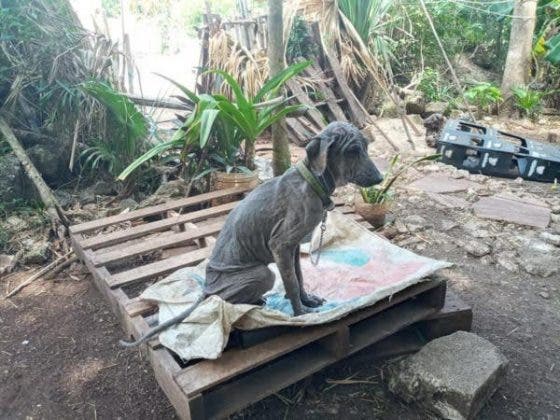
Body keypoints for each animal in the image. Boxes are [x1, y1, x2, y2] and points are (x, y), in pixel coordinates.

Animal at [120, 121, 382, 348]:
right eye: (352, 151)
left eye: (366, 147)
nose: (380, 178)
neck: (312, 182)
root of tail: (206, 288)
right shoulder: (280, 245)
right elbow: (291, 283)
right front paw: (301, 314)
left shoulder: (294, 246)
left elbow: (298, 277)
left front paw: (307, 300)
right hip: (261, 274)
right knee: (224, 301)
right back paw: (253, 303)